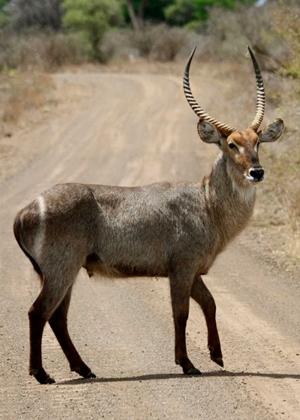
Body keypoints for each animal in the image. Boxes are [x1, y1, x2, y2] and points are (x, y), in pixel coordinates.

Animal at [12, 46, 282, 384]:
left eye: (257, 142)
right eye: (231, 144)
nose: (256, 172)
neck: (207, 203)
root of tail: (25, 211)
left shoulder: (193, 271)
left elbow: (210, 303)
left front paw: (216, 354)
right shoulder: (182, 267)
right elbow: (181, 313)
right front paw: (187, 363)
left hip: (64, 271)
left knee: (57, 316)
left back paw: (84, 369)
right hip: (61, 267)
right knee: (39, 312)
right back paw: (41, 373)